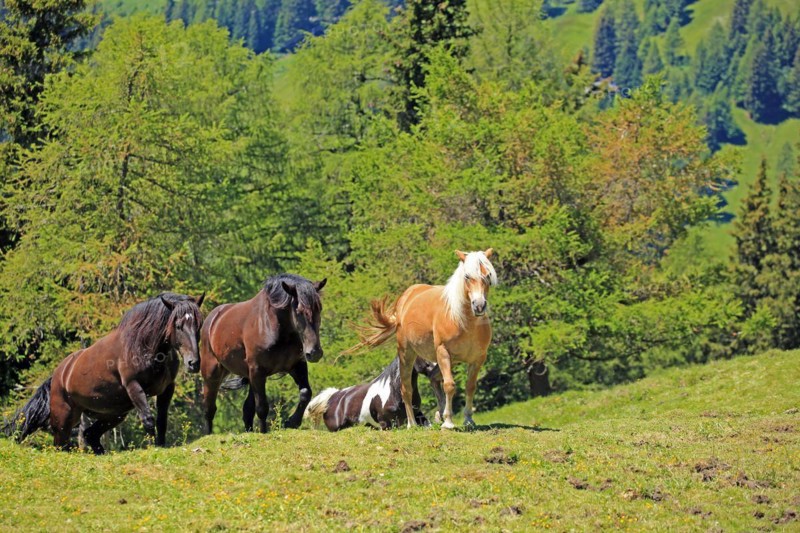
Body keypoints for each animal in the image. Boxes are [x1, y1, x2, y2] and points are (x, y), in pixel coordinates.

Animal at [6, 292, 205, 453]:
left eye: (199, 325)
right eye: (178, 325)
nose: (193, 363)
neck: (144, 345)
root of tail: (58, 375)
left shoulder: (167, 388)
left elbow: (161, 420)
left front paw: (161, 445)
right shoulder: (133, 386)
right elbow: (148, 419)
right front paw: (152, 447)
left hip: (114, 413)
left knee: (90, 434)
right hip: (64, 419)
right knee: (62, 443)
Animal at [200, 274, 326, 433]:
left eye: (319, 308)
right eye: (299, 311)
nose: (315, 352)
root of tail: (212, 319)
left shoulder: (296, 365)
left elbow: (305, 393)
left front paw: (292, 422)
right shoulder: (258, 370)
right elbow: (262, 407)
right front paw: (264, 432)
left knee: (247, 409)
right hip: (212, 374)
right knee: (209, 408)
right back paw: (208, 433)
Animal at [345, 249, 496, 429]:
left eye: (488, 275)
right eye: (467, 276)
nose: (479, 305)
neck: (462, 320)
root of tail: (406, 297)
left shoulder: (477, 359)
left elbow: (470, 387)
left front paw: (468, 419)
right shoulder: (443, 353)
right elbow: (449, 385)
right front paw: (448, 422)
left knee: (433, 378)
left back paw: (438, 414)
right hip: (407, 355)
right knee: (406, 389)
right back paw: (412, 424)